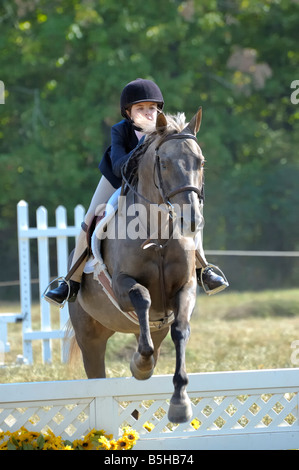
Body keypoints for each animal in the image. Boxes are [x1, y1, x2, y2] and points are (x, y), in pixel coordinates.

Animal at [69, 108, 206, 424]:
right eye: (164, 163)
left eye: (200, 162)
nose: (192, 220)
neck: (157, 234)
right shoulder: (121, 285)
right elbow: (142, 297)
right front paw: (139, 364)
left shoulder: (185, 288)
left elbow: (180, 329)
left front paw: (180, 403)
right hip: (89, 336)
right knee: (96, 374)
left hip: (151, 328)